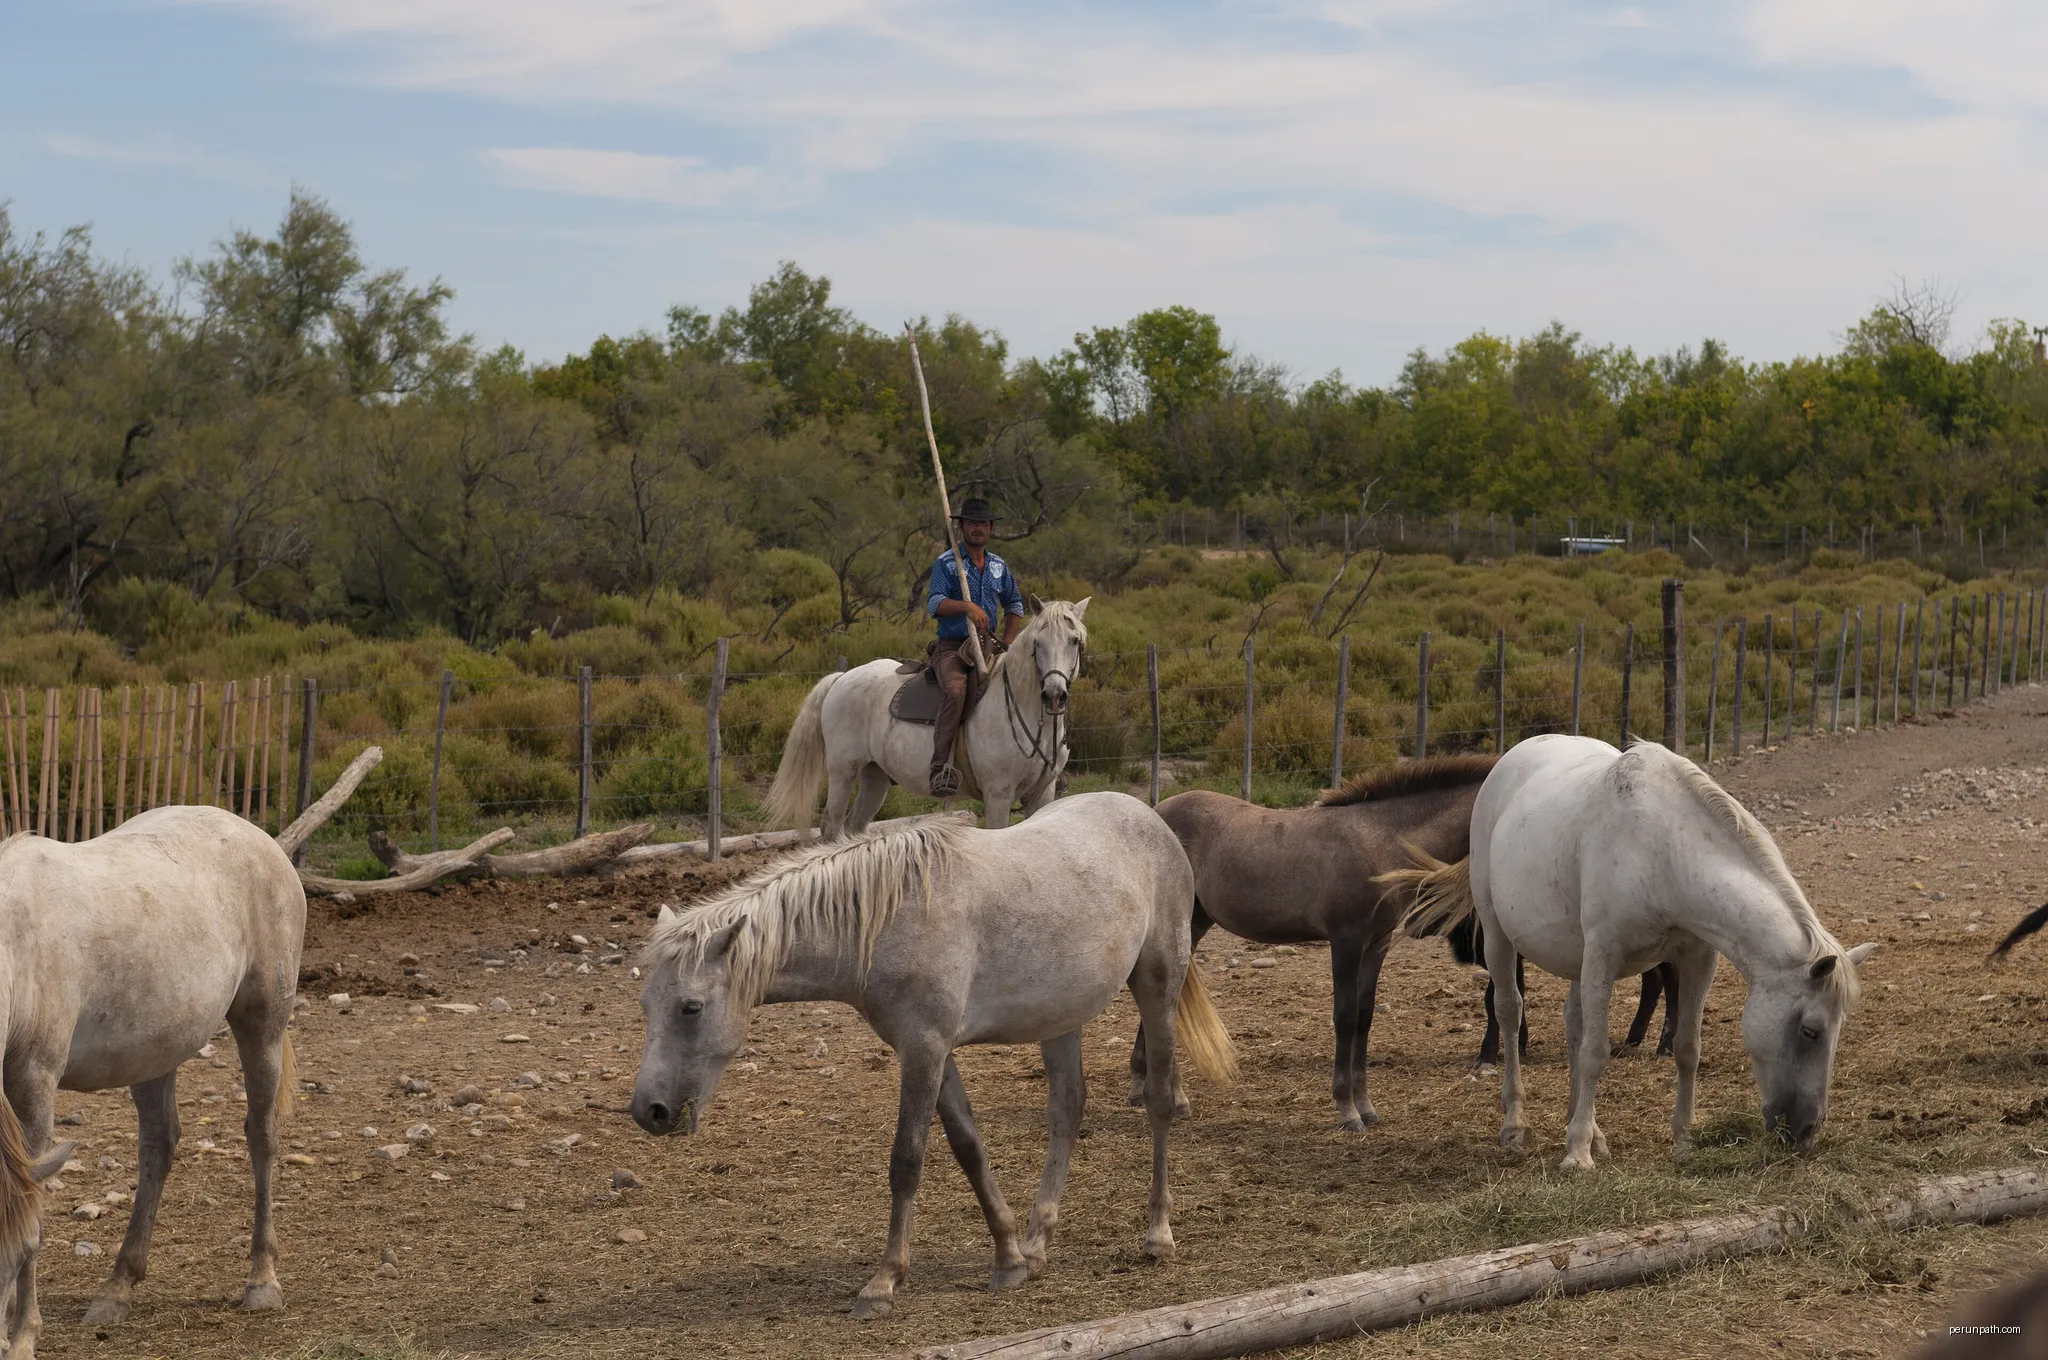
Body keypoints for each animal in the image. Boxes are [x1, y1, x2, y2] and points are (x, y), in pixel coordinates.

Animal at [0, 807, 303, 1356]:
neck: (14, 946)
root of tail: (261, 839)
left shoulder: (34, 1078)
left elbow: (31, 1219)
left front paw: (24, 1336)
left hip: (264, 1024)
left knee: (262, 1137)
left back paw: (262, 1282)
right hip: (154, 1051)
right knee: (159, 1146)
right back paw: (117, 1288)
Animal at [630, 792, 1235, 1319]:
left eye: (690, 1007)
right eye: (645, 1004)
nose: (648, 1112)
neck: (886, 920)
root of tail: (1150, 817)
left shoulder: (923, 1049)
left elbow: (907, 1160)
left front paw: (883, 1281)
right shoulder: (931, 1050)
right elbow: (968, 1147)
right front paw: (1009, 1257)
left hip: (1157, 985)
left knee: (1159, 1101)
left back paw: (1158, 1234)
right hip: (1060, 1018)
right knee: (1067, 1108)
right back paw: (1038, 1241)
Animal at [763, 598, 1089, 836]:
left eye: (1074, 641)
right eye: (1038, 643)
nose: (1054, 695)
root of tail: (842, 678)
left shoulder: (1042, 795)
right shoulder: (998, 795)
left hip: (875, 776)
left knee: (854, 827)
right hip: (843, 770)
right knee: (831, 826)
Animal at [1128, 756, 1495, 1132]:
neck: (1382, 841)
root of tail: (1156, 811)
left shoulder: (1377, 943)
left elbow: (1364, 1017)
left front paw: (1366, 1106)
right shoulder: (1346, 941)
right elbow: (1345, 1017)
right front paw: (1347, 1110)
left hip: (1195, 923)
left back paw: (1148, 1089)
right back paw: (1170, 1095)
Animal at [1392, 734, 1875, 1171]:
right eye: (1811, 1031)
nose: (1807, 1131)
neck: (1663, 850)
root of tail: (1509, 759)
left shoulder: (1697, 958)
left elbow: (1686, 1046)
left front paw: (1682, 1140)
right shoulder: (1603, 953)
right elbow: (1595, 1052)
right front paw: (1577, 1155)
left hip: (1575, 955)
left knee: (1574, 1022)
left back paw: (1589, 1128)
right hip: (1499, 935)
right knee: (1510, 1012)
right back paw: (1517, 1125)